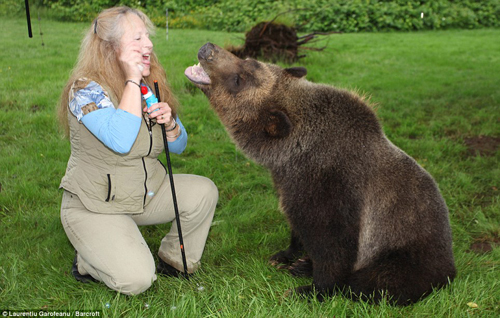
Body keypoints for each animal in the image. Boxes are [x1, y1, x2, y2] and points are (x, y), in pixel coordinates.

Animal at [185, 42, 458, 306]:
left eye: (239, 78)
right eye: (247, 61)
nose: (208, 49)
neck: (290, 156)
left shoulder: (332, 186)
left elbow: (333, 244)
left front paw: (310, 289)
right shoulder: (290, 184)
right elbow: (297, 226)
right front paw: (286, 256)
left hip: (407, 252)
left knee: (380, 280)